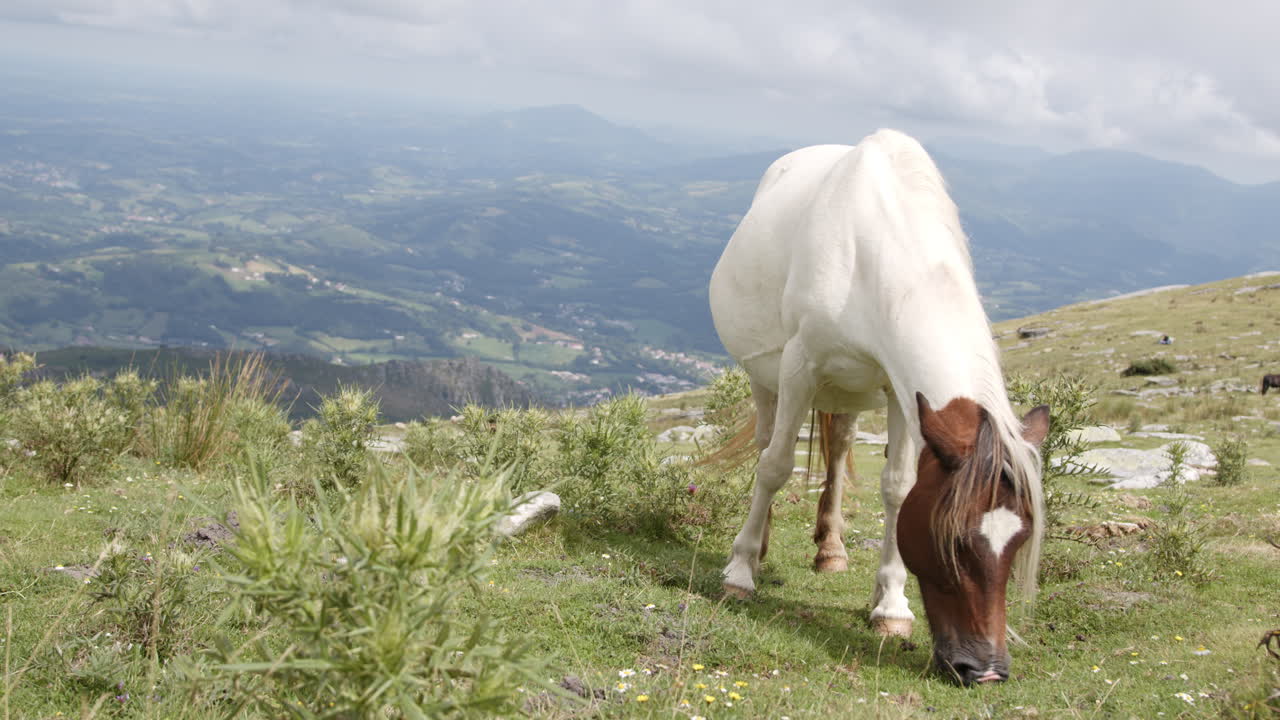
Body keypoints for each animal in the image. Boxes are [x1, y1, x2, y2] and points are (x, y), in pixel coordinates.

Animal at [708, 129, 1049, 685]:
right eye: (952, 541)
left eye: (1019, 541)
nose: (985, 670)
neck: (869, 253)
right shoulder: (800, 366)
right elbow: (776, 466)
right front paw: (739, 573)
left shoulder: (899, 389)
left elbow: (898, 487)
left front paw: (890, 606)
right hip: (766, 378)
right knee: (766, 446)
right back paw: (759, 548)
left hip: (848, 391)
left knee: (841, 445)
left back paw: (831, 550)